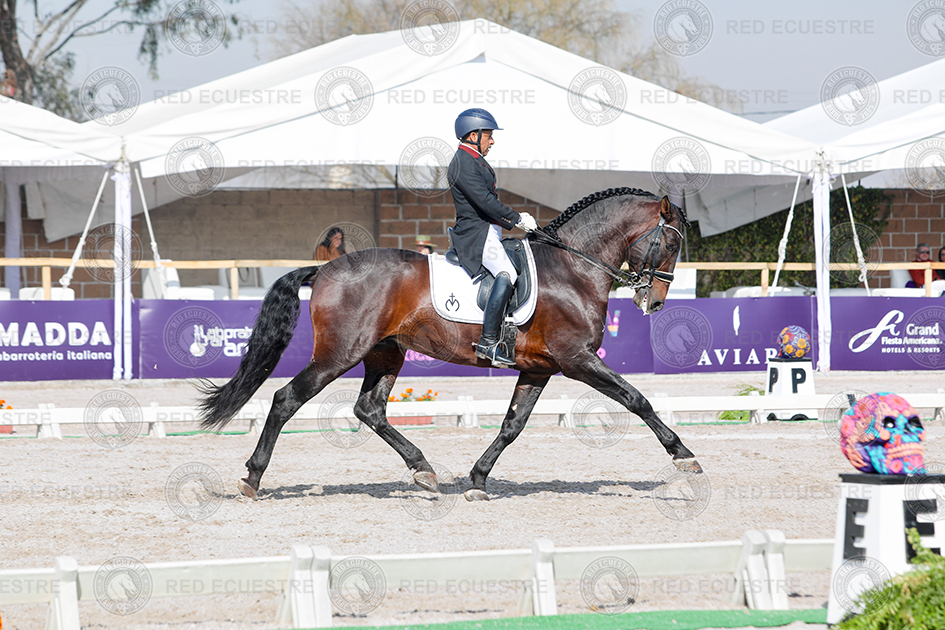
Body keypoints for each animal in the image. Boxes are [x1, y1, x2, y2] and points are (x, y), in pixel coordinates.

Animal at [198, 187, 703, 501]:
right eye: (671, 244)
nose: (656, 301)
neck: (574, 269)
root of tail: (324, 269)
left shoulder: (539, 367)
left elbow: (512, 426)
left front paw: (478, 479)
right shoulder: (577, 360)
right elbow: (636, 399)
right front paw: (684, 457)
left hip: (386, 353)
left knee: (369, 409)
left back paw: (423, 469)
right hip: (339, 354)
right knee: (286, 399)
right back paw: (252, 477)